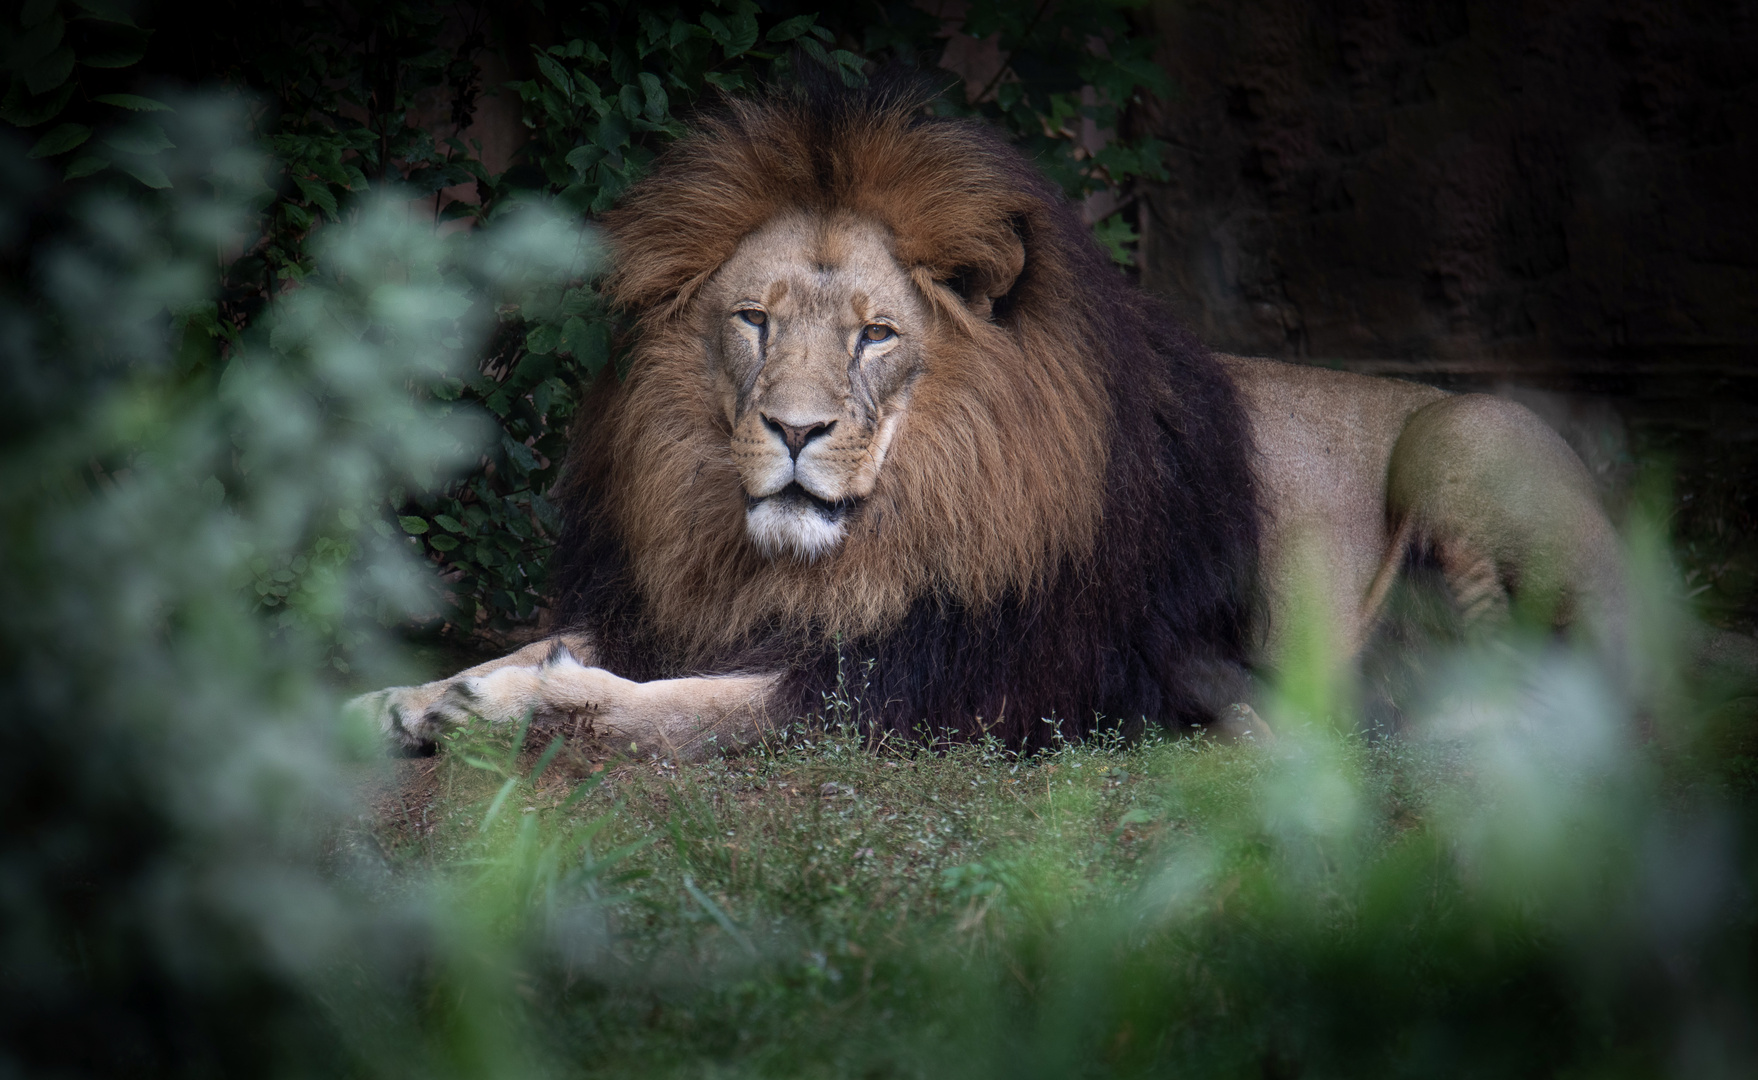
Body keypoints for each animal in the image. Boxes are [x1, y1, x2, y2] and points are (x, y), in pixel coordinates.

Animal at [349, 82, 1624, 763]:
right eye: (754, 320)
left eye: (876, 336)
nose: (795, 434)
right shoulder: (710, 606)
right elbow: (565, 644)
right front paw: (404, 696)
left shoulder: (949, 684)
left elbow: (675, 708)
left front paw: (511, 704)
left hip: (1459, 436)